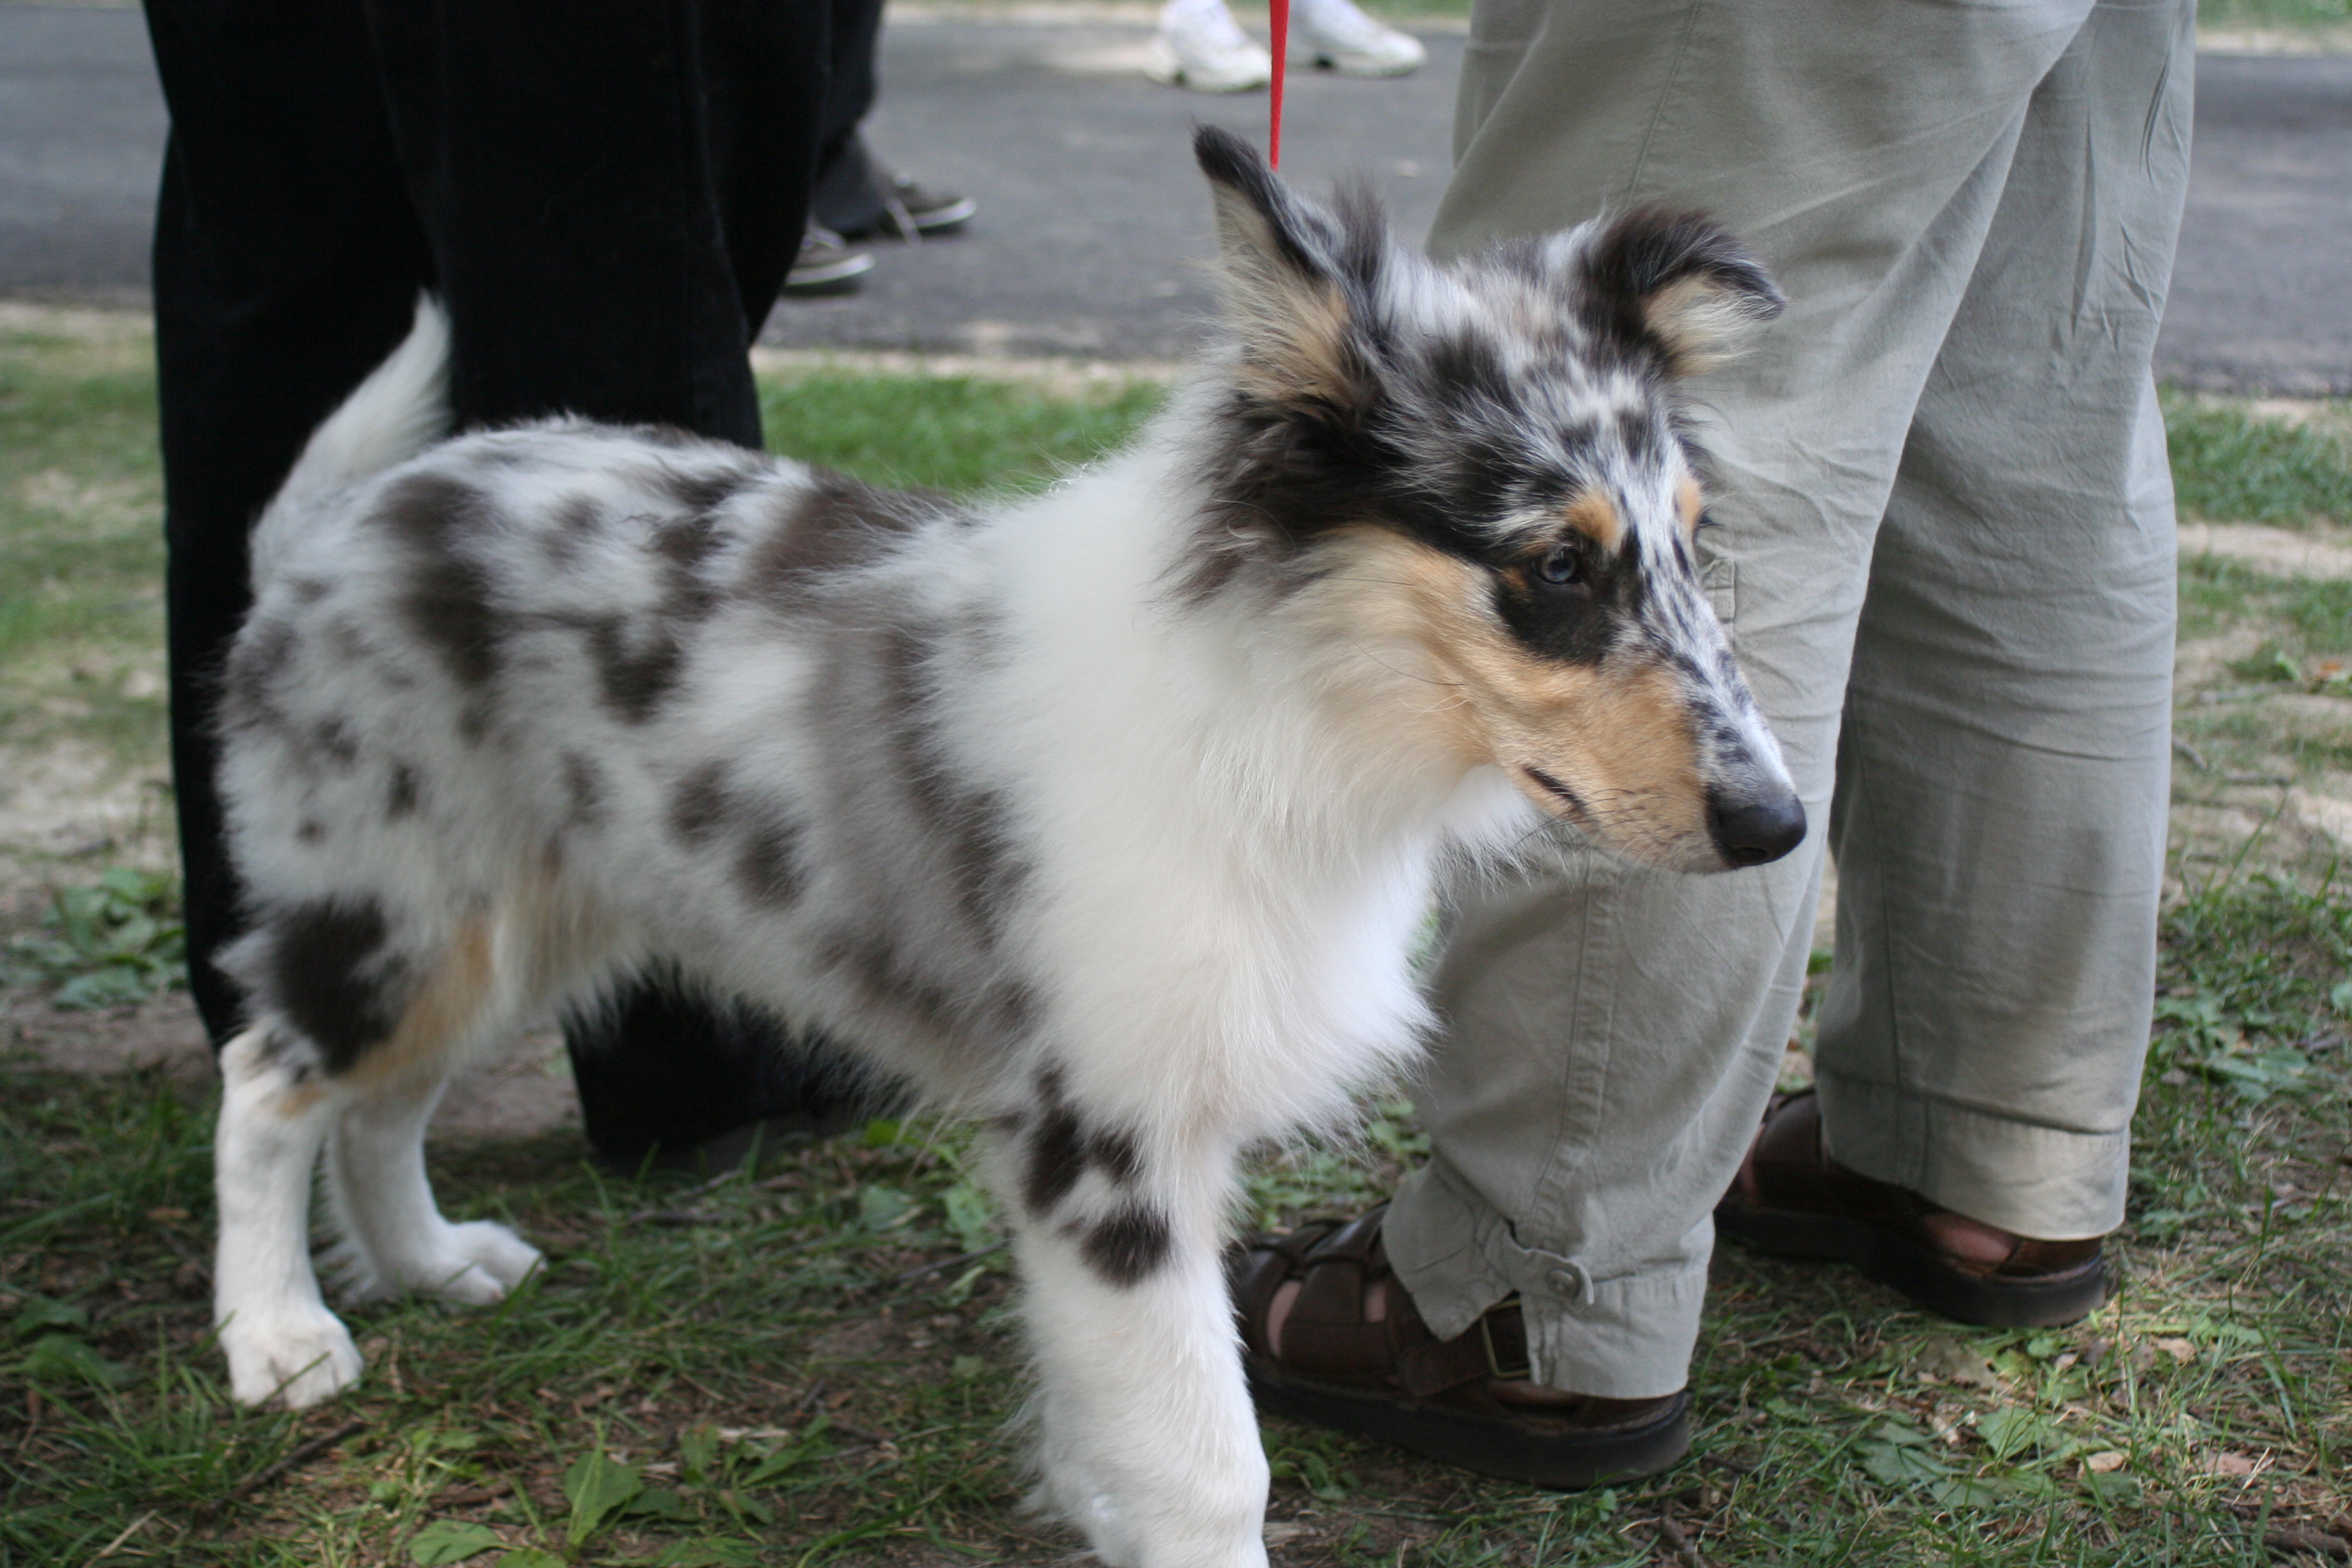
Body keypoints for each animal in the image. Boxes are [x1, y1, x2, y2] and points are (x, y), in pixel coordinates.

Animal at [216, 131, 1797, 1568]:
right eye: (1554, 565)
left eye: (1695, 542)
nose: (1780, 826)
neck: (1277, 708)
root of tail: (341, 523)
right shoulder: (1102, 1141)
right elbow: (1208, 1465)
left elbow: (1136, 1416)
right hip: (395, 900)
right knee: (267, 1080)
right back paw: (280, 1335)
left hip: (519, 920)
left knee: (380, 1104)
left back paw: (427, 1263)